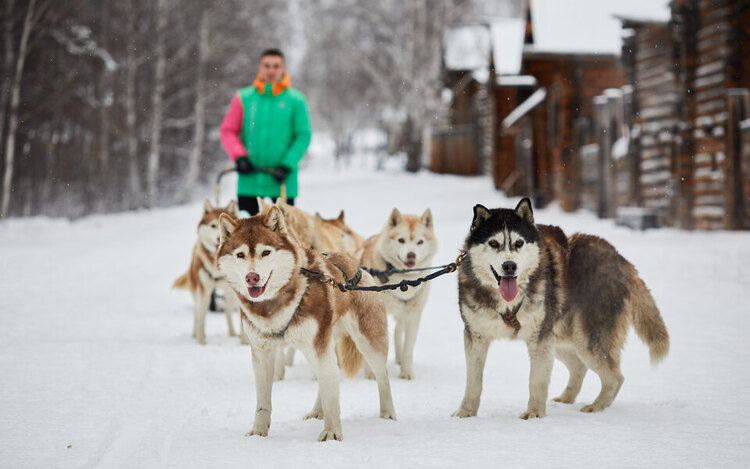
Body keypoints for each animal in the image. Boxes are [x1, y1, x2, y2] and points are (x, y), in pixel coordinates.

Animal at [174, 197, 245, 344]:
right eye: (213, 226)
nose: (219, 238)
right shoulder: (204, 291)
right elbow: (202, 318)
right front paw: (201, 341)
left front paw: (244, 341)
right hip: (197, 291)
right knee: (198, 312)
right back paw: (195, 334)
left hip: (230, 294)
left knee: (228, 311)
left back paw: (232, 333)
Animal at [216, 207, 396, 440]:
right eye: (240, 254)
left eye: (266, 252)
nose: (252, 277)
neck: (274, 304)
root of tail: (354, 262)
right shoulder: (262, 353)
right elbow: (263, 402)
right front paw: (258, 432)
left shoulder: (318, 347)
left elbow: (332, 395)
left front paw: (332, 432)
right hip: (317, 346)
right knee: (324, 378)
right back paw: (318, 411)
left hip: (367, 342)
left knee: (382, 376)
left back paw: (388, 414)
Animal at [360, 208, 438, 380]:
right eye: (401, 240)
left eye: (420, 242)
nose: (411, 255)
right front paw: (371, 373)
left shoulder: (413, 316)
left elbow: (408, 347)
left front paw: (407, 372)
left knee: (397, 332)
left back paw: (400, 359)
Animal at [456, 197, 672, 416]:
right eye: (493, 243)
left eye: (519, 243)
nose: (510, 266)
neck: (507, 302)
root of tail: (622, 261)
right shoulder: (476, 337)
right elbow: (473, 382)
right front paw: (466, 413)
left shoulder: (540, 339)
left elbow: (537, 382)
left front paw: (534, 414)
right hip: (560, 337)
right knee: (579, 366)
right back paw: (567, 398)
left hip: (585, 339)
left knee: (615, 377)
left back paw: (596, 406)